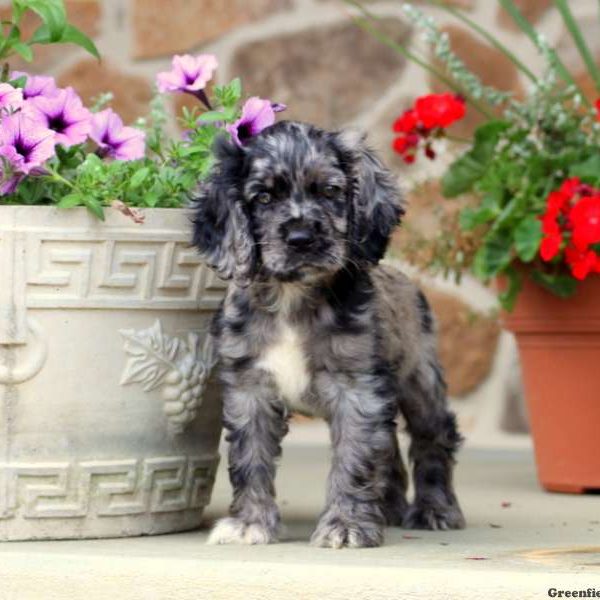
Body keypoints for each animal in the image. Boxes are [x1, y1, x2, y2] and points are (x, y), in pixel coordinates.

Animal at [195, 119, 466, 548]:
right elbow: (249, 460)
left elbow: (354, 460)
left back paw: (435, 509)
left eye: (330, 191)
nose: (301, 239)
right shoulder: (249, 388)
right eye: (263, 198)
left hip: (420, 380)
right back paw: (389, 507)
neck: (293, 298)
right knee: (390, 446)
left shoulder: (356, 389)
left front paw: (346, 525)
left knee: (433, 438)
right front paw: (249, 523)